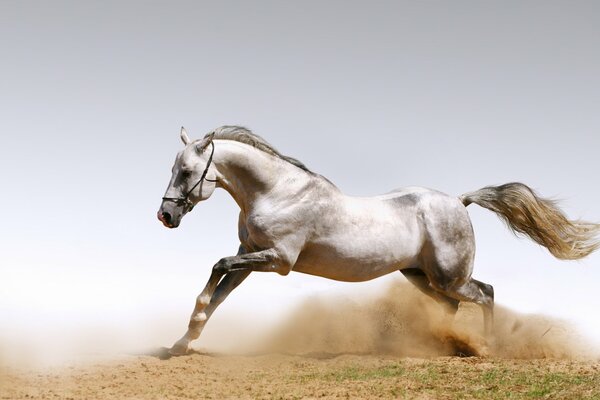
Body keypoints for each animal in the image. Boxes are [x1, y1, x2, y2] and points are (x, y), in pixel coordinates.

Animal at [159, 126, 600, 356]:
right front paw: (181, 343)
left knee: (486, 293)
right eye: (174, 169)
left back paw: (486, 347)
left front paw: (186, 334)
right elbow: (218, 294)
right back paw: (442, 345)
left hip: (449, 276)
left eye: (187, 171)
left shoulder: (278, 260)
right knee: (453, 306)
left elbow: (216, 268)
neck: (278, 192)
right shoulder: (250, 254)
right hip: (419, 276)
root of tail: (459, 201)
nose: (165, 216)